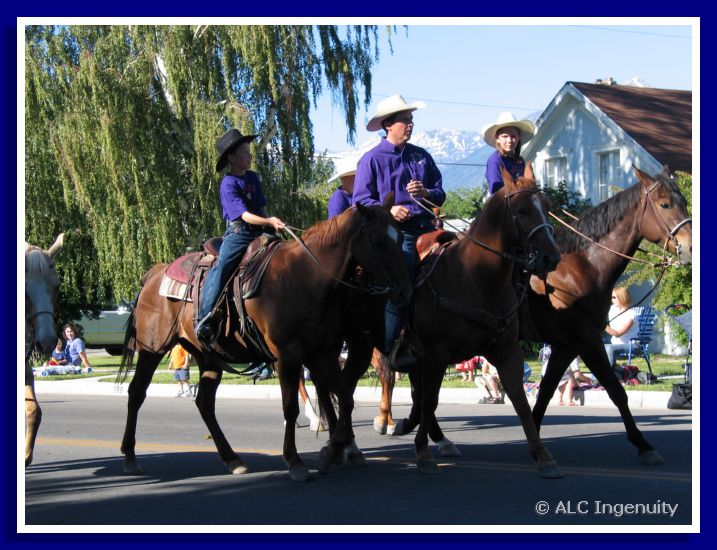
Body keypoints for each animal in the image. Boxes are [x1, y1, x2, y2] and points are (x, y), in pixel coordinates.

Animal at [117, 198, 411, 481]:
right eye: (379, 241)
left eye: (399, 238)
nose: (403, 289)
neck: (307, 277)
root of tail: (155, 273)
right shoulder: (288, 355)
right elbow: (291, 407)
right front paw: (295, 461)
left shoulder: (323, 353)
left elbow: (344, 399)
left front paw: (332, 451)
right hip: (152, 350)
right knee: (136, 393)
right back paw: (130, 456)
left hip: (208, 357)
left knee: (205, 403)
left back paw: (232, 459)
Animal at [383, 165, 692, 466]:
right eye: (664, 204)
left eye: (683, 202)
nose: (689, 249)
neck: (583, 266)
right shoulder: (587, 340)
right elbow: (616, 391)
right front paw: (643, 444)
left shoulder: (565, 346)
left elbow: (544, 393)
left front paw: (536, 439)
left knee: (418, 385)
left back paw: (427, 432)